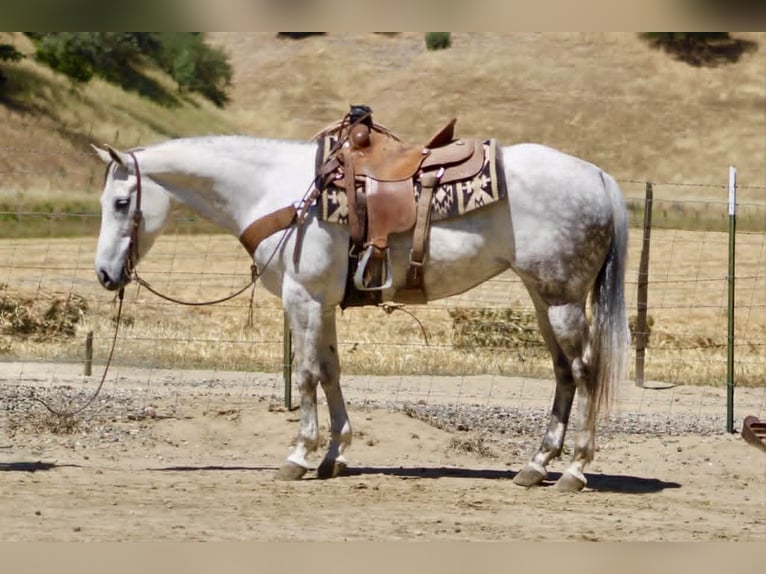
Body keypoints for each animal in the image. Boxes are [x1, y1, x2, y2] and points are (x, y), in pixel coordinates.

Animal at [92, 130, 629, 491]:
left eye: (120, 202)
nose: (104, 274)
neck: (278, 191)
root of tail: (599, 176)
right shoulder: (324, 304)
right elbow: (331, 372)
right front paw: (334, 454)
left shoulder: (302, 297)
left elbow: (306, 374)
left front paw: (299, 455)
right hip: (544, 297)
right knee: (563, 372)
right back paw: (536, 466)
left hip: (561, 299)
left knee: (585, 370)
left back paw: (575, 469)